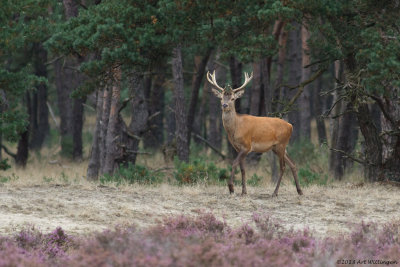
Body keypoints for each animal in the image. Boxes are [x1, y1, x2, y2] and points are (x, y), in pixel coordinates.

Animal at [208, 70, 302, 198]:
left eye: (232, 98)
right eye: (221, 98)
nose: (224, 105)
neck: (235, 129)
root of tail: (290, 126)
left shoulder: (247, 146)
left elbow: (234, 163)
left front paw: (231, 188)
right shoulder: (237, 148)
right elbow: (243, 169)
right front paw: (243, 191)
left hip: (281, 144)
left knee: (283, 167)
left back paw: (275, 192)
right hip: (277, 147)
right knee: (292, 164)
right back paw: (299, 191)